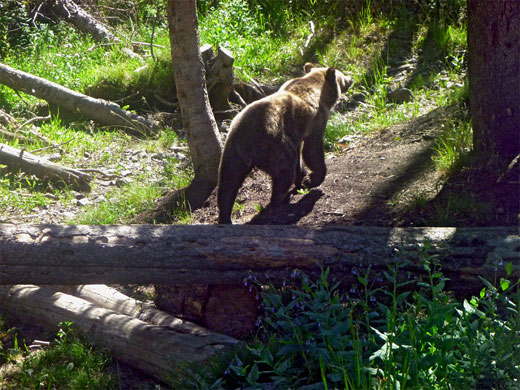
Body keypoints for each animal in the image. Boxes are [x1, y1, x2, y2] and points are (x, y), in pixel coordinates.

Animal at [215, 62, 354, 224]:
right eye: (342, 75)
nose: (351, 79)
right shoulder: (315, 121)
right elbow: (312, 150)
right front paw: (311, 180)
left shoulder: (296, 133)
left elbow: (300, 158)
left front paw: (303, 179)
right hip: (275, 144)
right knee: (284, 172)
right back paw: (279, 200)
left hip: (233, 150)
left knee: (228, 183)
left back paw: (225, 216)